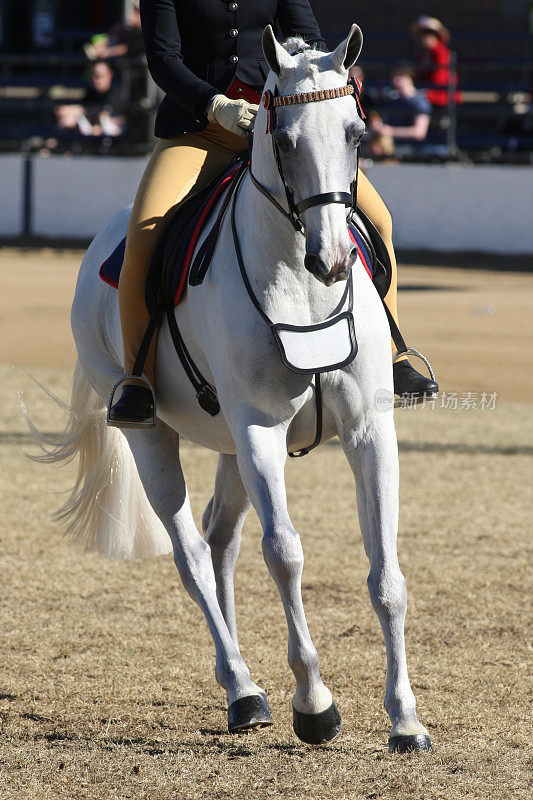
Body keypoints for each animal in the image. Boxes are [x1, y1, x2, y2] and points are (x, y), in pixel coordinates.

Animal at [31, 25, 432, 752]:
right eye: (286, 139)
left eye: (357, 132)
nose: (333, 260)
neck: (300, 283)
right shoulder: (260, 431)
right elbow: (285, 555)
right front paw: (315, 704)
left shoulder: (367, 430)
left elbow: (385, 572)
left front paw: (405, 720)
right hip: (157, 437)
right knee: (190, 551)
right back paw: (245, 692)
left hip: (228, 445)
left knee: (220, 541)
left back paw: (240, 684)